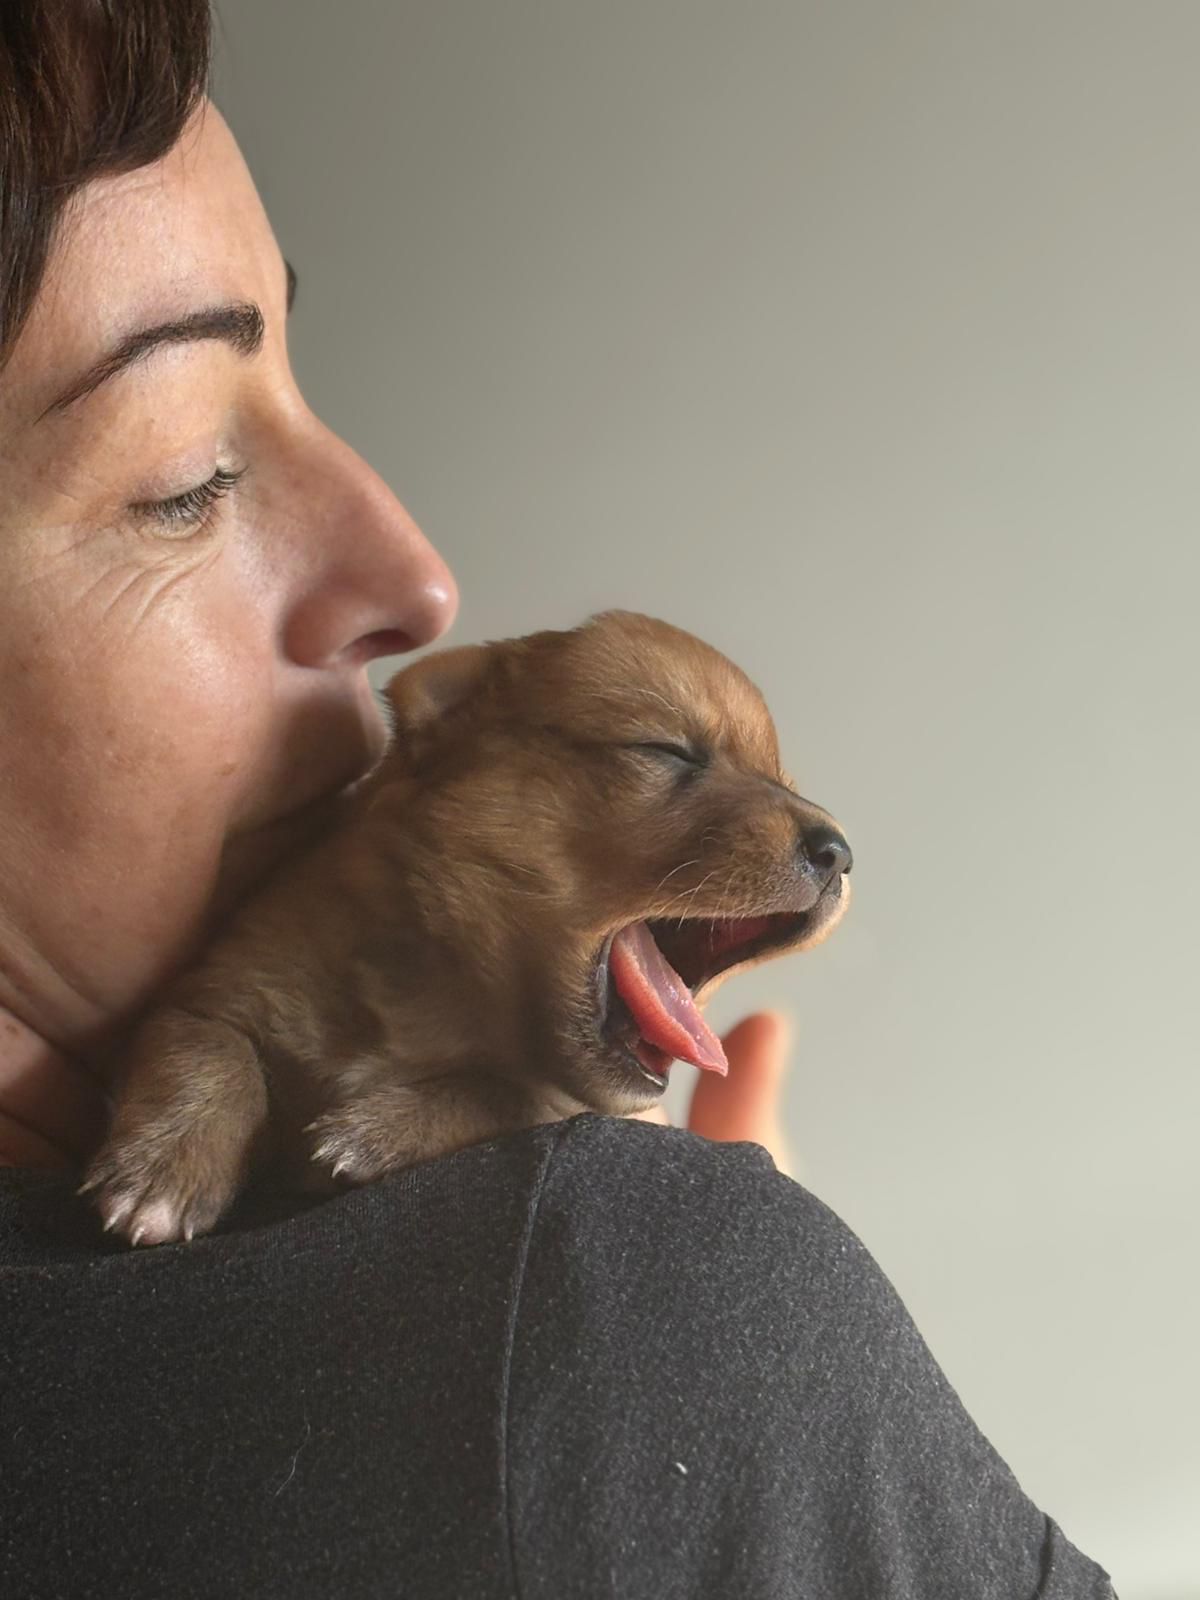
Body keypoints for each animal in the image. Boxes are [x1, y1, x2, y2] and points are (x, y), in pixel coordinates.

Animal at [81, 610, 852, 1246]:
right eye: (669, 751)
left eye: (782, 781)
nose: (841, 853)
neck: (434, 996)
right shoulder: (220, 985)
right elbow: (211, 1050)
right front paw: (165, 1172)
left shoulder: (552, 1099)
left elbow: (503, 1092)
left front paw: (373, 1132)